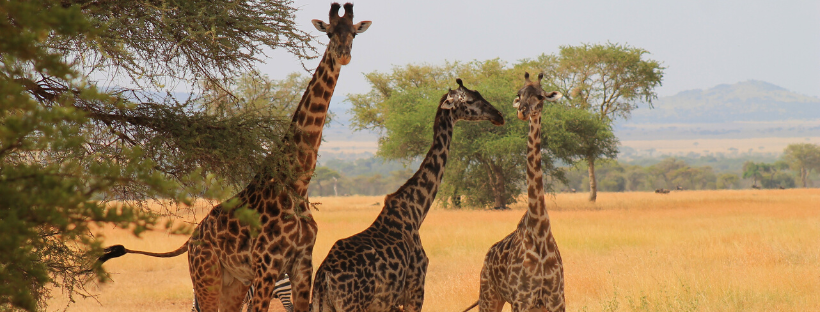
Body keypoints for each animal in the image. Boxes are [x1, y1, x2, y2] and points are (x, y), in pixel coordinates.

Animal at [97, 3, 374, 312]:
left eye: (353, 33)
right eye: (328, 32)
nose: (344, 54)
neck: (298, 185)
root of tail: (191, 239)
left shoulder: (303, 264)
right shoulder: (267, 265)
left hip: (234, 282)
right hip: (206, 275)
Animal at [310, 79, 506, 310]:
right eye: (470, 100)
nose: (498, 115)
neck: (416, 211)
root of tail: (324, 278)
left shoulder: (390, 302)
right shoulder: (415, 288)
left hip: (321, 304)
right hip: (352, 305)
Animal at [464, 72, 568, 310]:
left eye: (540, 96)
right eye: (519, 95)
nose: (522, 110)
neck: (539, 232)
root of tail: (487, 256)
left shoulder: (556, 299)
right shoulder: (522, 299)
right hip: (489, 296)